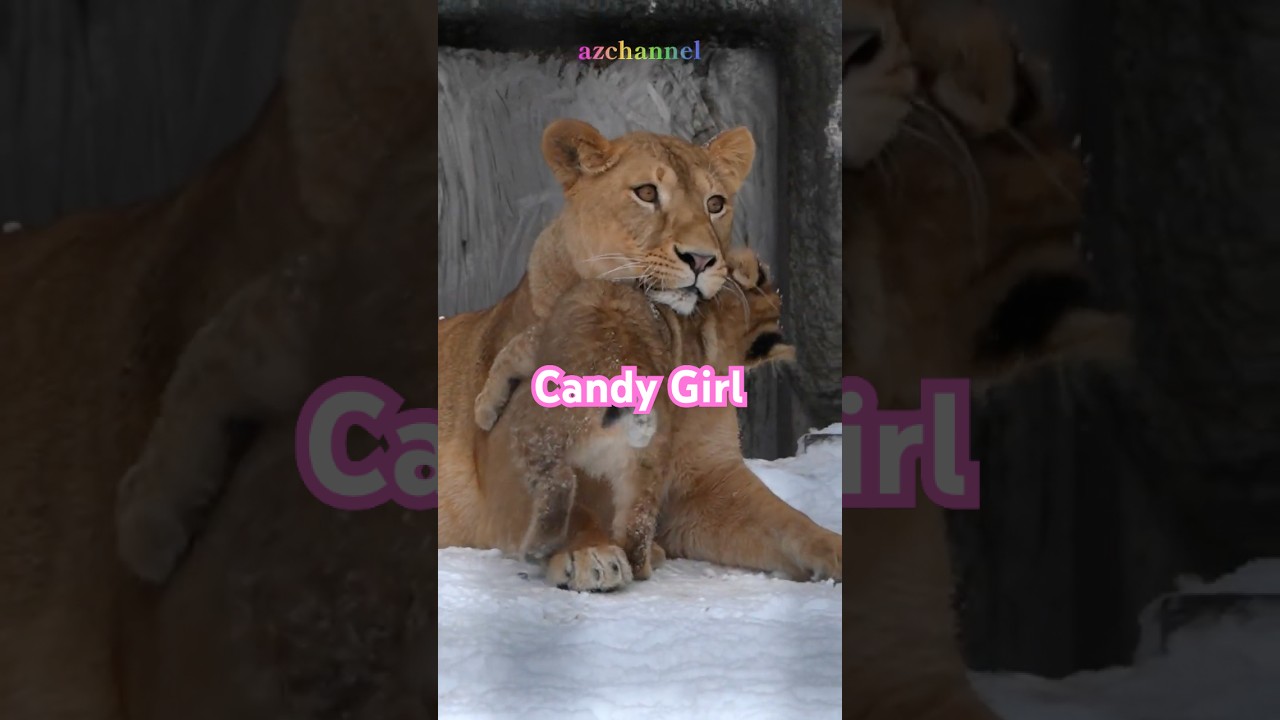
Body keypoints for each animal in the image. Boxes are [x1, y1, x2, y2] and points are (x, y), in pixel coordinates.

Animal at [471, 248, 792, 589]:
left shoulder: (535, 340)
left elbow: (504, 362)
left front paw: (483, 411)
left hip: (540, 431)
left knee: (559, 484)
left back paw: (538, 546)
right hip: (646, 465)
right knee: (637, 524)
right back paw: (645, 561)